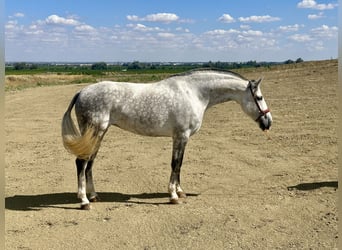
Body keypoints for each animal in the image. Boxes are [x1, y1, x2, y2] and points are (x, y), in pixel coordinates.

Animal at [62, 68, 272, 209]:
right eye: (259, 98)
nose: (268, 122)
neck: (194, 93)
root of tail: (81, 92)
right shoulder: (180, 136)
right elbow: (175, 164)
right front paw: (173, 195)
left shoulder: (182, 138)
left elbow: (180, 165)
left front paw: (180, 191)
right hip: (94, 132)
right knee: (81, 163)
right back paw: (84, 201)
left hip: (98, 134)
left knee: (90, 163)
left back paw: (94, 196)